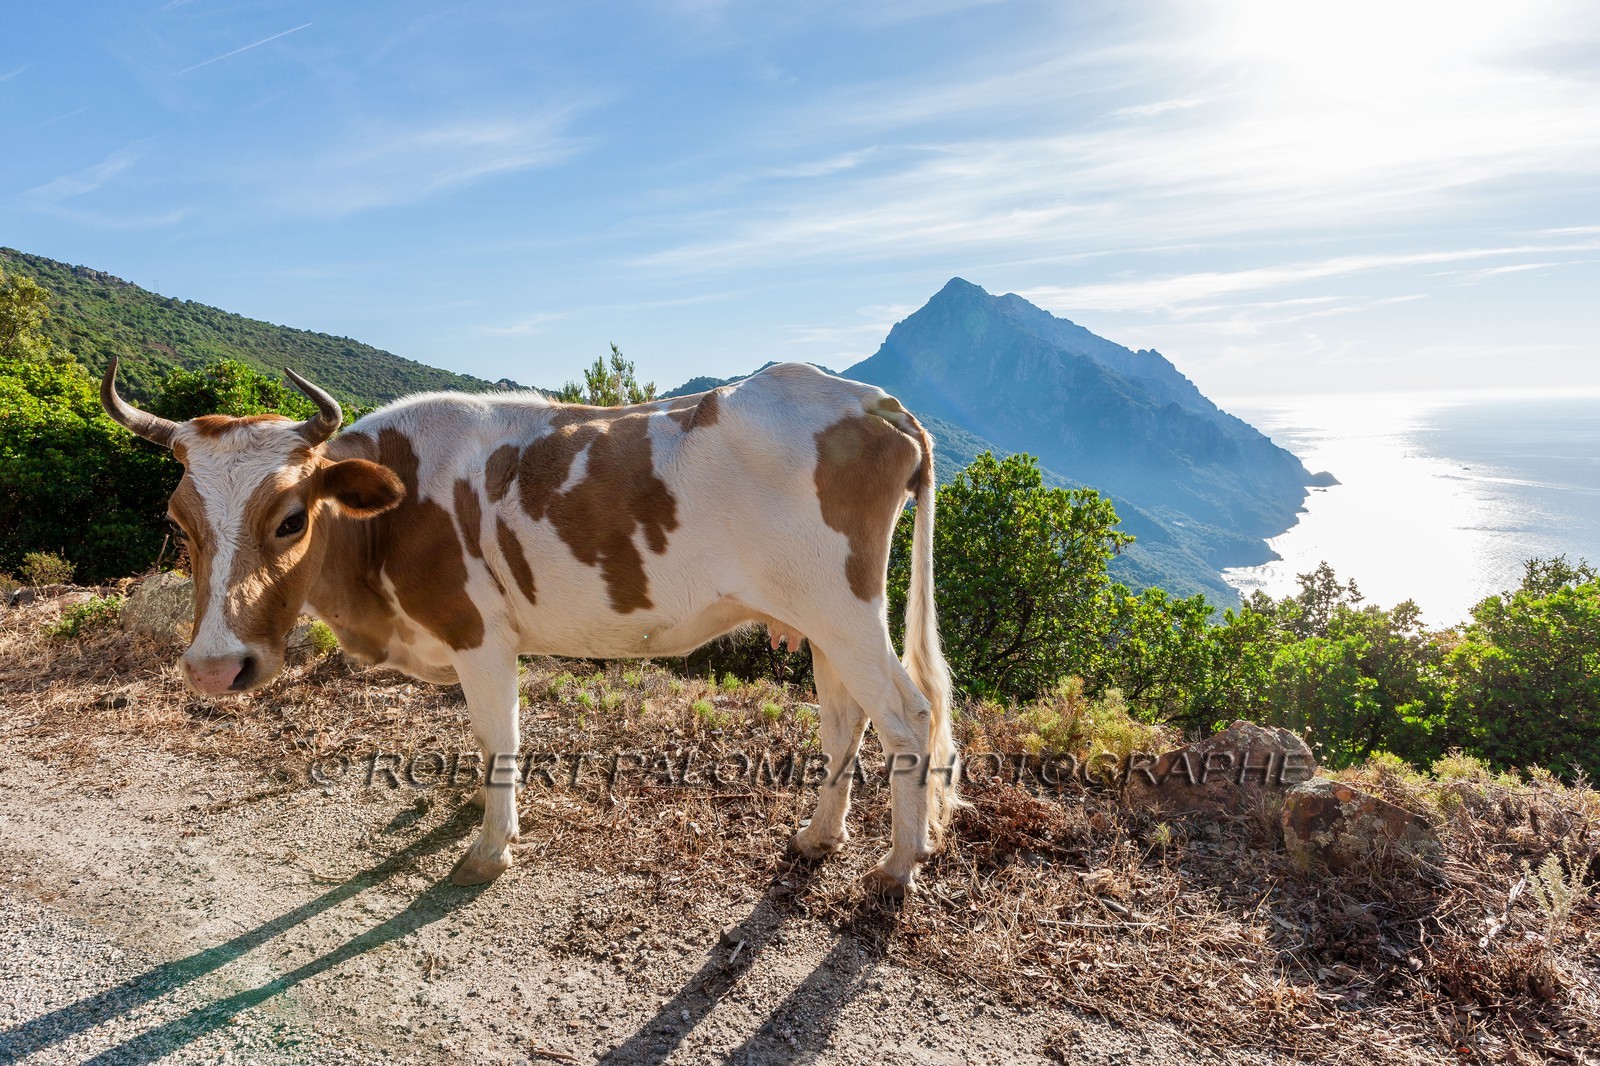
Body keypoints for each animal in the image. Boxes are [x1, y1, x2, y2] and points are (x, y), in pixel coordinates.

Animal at [100, 358, 958, 896]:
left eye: (290, 519)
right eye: (178, 524)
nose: (214, 667)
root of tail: (868, 398)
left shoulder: (478, 634)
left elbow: (500, 735)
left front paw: (489, 847)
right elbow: (484, 737)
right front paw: (478, 821)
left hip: (842, 607)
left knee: (907, 716)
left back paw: (899, 864)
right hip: (819, 617)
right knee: (845, 718)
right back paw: (820, 836)